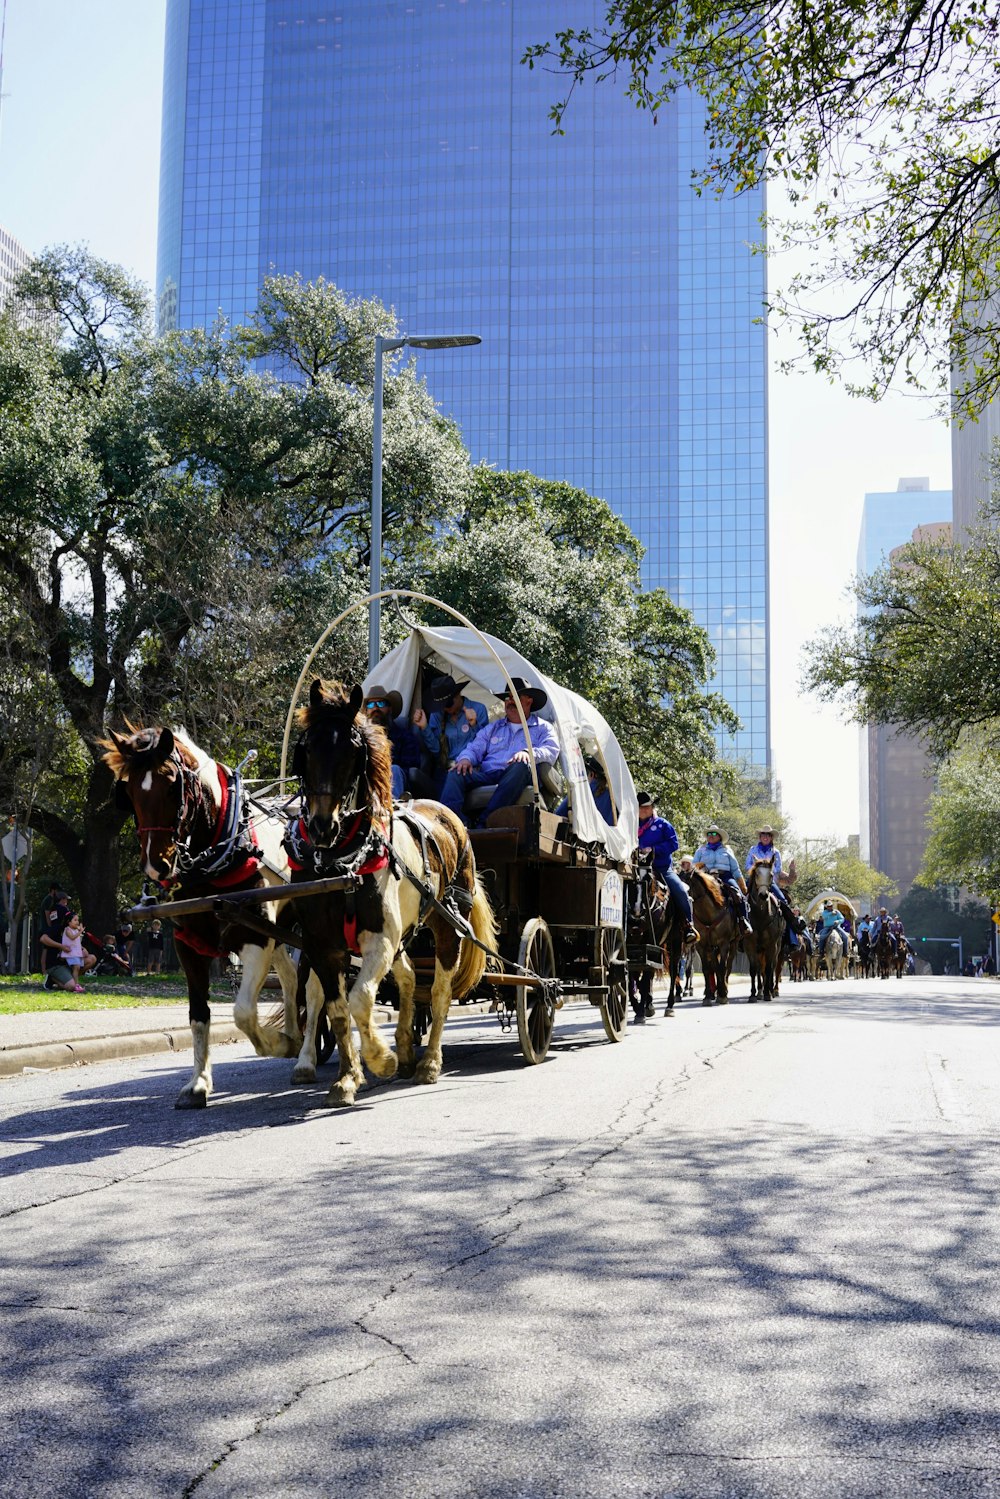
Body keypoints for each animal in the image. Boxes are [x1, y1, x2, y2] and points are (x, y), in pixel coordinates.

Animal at [102, 719, 313, 1109]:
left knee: (317, 988)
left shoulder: (253, 936)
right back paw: (295, 1032)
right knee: (293, 978)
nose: (156, 866)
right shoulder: (190, 942)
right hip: (280, 930)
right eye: (130, 793)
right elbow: (199, 1015)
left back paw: (305, 1057)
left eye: (173, 786)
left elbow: (243, 1012)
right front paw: (198, 1083)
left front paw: (275, 1042)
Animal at [287, 680, 494, 1103]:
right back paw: (405, 1048)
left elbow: (360, 999)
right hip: (403, 935)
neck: (341, 862)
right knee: (410, 978)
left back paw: (428, 1062)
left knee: (440, 991)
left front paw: (379, 1060)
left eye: (352, 752)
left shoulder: (379, 939)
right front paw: (348, 1077)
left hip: (446, 925)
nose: (321, 826)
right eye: (308, 748)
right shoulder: (320, 943)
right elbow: (335, 1008)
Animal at [689, 869, 743, 1007]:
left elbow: (722, 967)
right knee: (714, 966)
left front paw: (723, 995)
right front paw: (708, 996)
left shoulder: (724, 943)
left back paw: (724, 989)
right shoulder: (702, 946)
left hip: (733, 943)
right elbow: (707, 969)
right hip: (712, 947)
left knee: (728, 966)